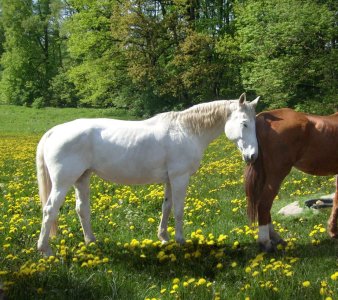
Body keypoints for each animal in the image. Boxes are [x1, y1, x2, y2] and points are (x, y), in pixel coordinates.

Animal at [36, 94, 258, 255]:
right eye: (244, 123)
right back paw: (45, 250)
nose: (253, 156)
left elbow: (166, 207)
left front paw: (164, 237)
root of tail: (54, 131)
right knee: (49, 211)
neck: (186, 130)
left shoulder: (169, 179)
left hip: (81, 178)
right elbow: (178, 210)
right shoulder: (180, 178)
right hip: (63, 183)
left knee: (82, 209)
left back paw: (91, 241)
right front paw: (180, 240)